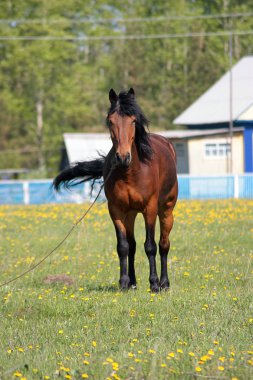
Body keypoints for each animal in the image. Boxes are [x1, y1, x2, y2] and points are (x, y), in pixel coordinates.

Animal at [52, 87, 178, 292]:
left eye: (133, 120)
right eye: (110, 121)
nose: (122, 157)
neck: (130, 172)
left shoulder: (149, 209)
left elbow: (150, 246)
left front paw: (153, 284)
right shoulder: (116, 210)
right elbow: (123, 246)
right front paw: (124, 283)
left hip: (166, 209)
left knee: (164, 244)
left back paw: (164, 283)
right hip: (131, 214)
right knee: (133, 245)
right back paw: (133, 282)